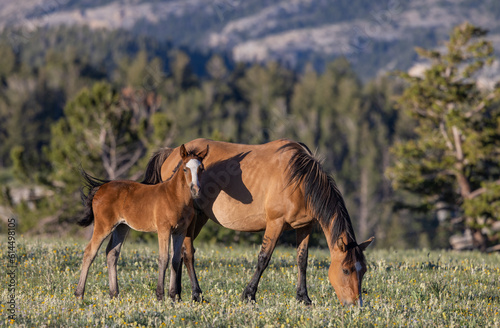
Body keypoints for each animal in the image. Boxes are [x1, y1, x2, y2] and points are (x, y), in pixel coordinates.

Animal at [74, 145, 209, 302]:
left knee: (112, 253)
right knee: (90, 252)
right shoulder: (164, 229)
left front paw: (173, 296)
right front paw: (160, 295)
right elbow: (164, 258)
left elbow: (175, 260)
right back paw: (79, 294)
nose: (196, 189)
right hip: (104, 226)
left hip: (121, 227)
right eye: (185, 169)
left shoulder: (180, 231)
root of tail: (100, 188)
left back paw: (114, 294)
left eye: (201, 168)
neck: (175, 196)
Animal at [143, 138, 374, 304]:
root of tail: (172, 153)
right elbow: (264, 258)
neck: (299, 178)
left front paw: (303, 298)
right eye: (346, 270)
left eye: (363, 270)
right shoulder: (275, 223)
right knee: (188, 253)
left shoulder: (304, 226)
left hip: (198, 218)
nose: (356, 304)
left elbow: (302, 260)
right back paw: (196, 294)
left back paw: (178, 294)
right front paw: (249, 294)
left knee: (181, 253)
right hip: (194, 217)